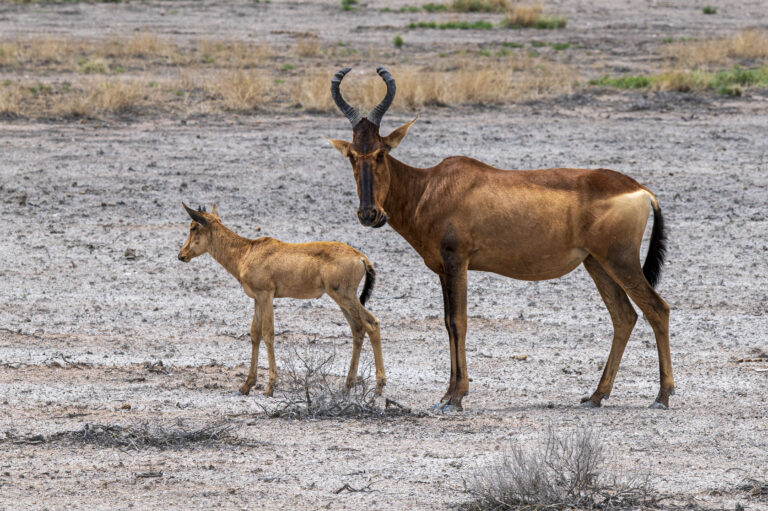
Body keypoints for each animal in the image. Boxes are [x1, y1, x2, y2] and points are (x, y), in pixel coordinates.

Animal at [328, 67, 676, 412]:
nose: (369, 214)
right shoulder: (443, 269)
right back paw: (596, 395)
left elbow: (458, 321)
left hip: (620, 261)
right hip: (597, 263)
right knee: (624, 316)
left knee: (657, 309)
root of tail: (641, 190)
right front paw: (448, 394)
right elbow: (447, 322)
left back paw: (662, 396)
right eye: (353, 155)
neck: (430, 186)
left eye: (381, 152)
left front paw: (455, 397)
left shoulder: (457, 261)